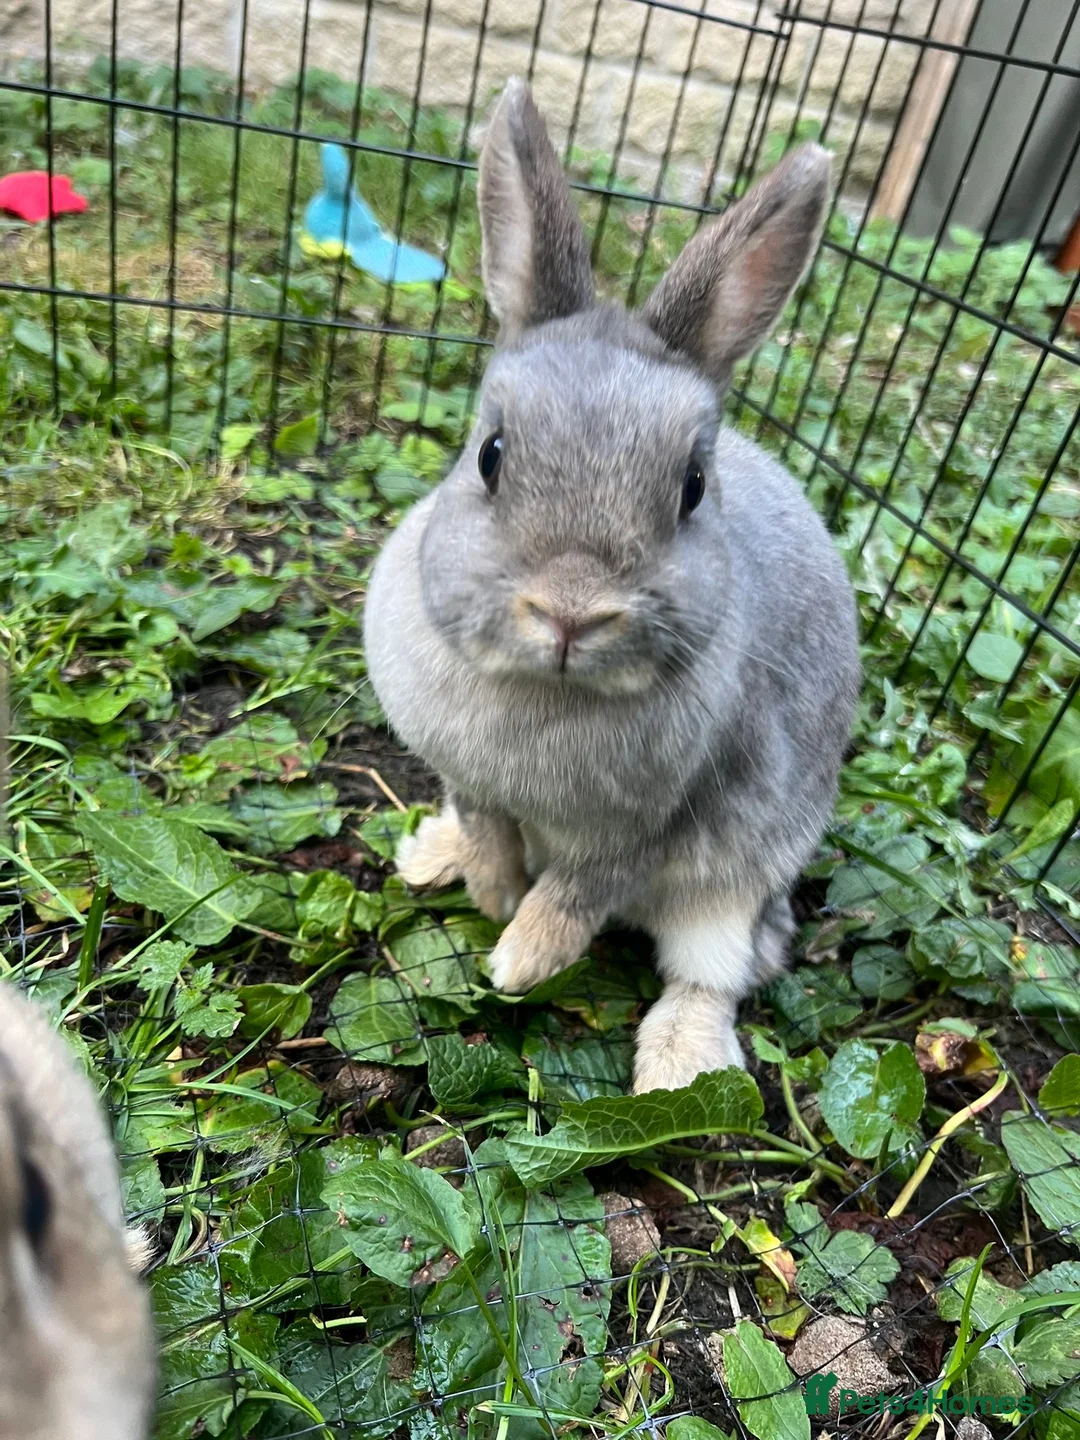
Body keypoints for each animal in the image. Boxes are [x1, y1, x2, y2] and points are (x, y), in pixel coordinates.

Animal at [364, 78, 861, 1093]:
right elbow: (489, 829)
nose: (570, 612)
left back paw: (679, 1069)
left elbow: (580, 890)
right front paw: (488, 890)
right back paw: (426, 856)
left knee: (715, 974)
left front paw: (520, 958)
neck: (545, 691)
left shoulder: (657, 828)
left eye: (694, 487)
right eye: (491, 454)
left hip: (734, 887)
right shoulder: (470, 780)